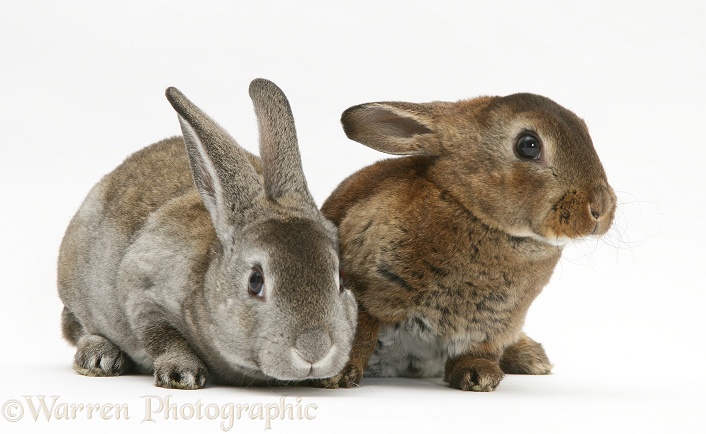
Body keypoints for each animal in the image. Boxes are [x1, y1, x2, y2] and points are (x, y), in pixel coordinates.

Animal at [57, 79, 354, 390]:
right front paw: (181, 374)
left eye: (341, 279)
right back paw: (99, 356)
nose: (314, 349)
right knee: (77, 327)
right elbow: (162, 336)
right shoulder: (142, 293)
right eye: (255, 282)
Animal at [318, 93, 612, 392]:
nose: (600, 208)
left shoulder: (492, 326)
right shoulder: (362, 290)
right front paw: (337, 376)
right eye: (528, 146)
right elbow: (359, 334)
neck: (468, 207)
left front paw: (479, 376)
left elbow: (475, 351)